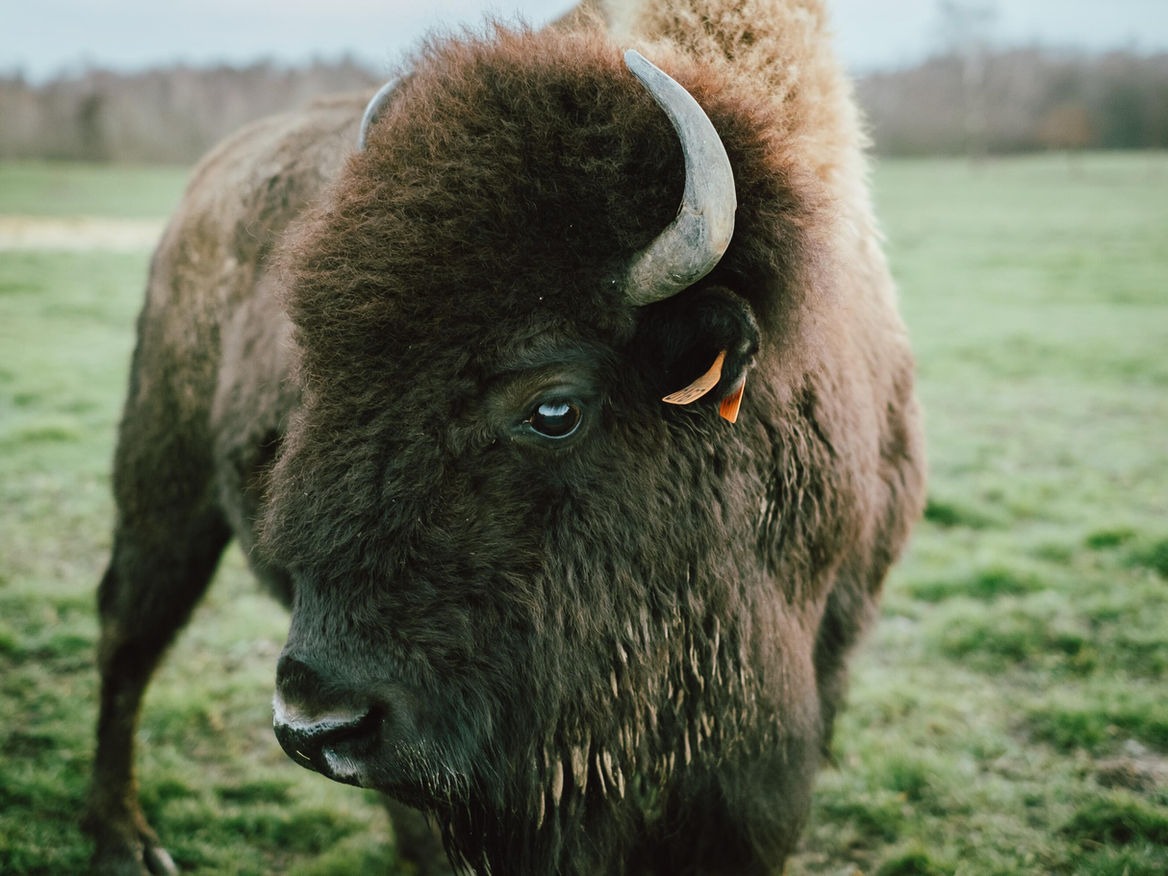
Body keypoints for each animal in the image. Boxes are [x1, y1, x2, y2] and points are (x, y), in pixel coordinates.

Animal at [83, 0, 926, 873]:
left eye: (553, 408)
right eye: (316, 365)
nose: (318, 723)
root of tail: (209, 180)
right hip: (165, 486)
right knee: (127, 634)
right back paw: (124, 838)